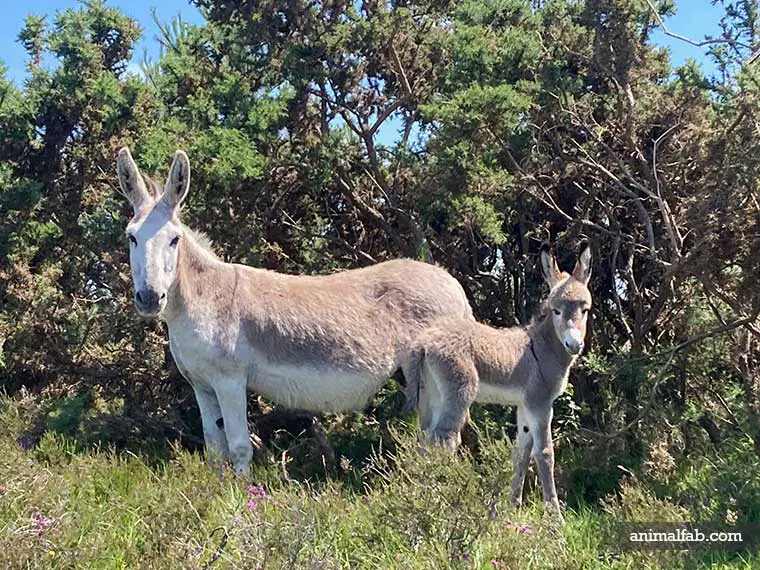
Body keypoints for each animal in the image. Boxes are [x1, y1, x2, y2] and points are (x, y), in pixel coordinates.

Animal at [406, 243, 592, 516]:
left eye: (585, 310)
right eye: (556, 311)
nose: (574, 345)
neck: (541, 347)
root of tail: (425, 343)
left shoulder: (524, 406)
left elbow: (521, 453)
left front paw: (512, 507)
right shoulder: (540, 404)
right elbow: (544, 453)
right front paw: (555, 517)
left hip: (431, 396)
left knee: (423, 443)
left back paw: (419, 498)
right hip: (458, 395)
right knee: (444, 441)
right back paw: (436, 505)